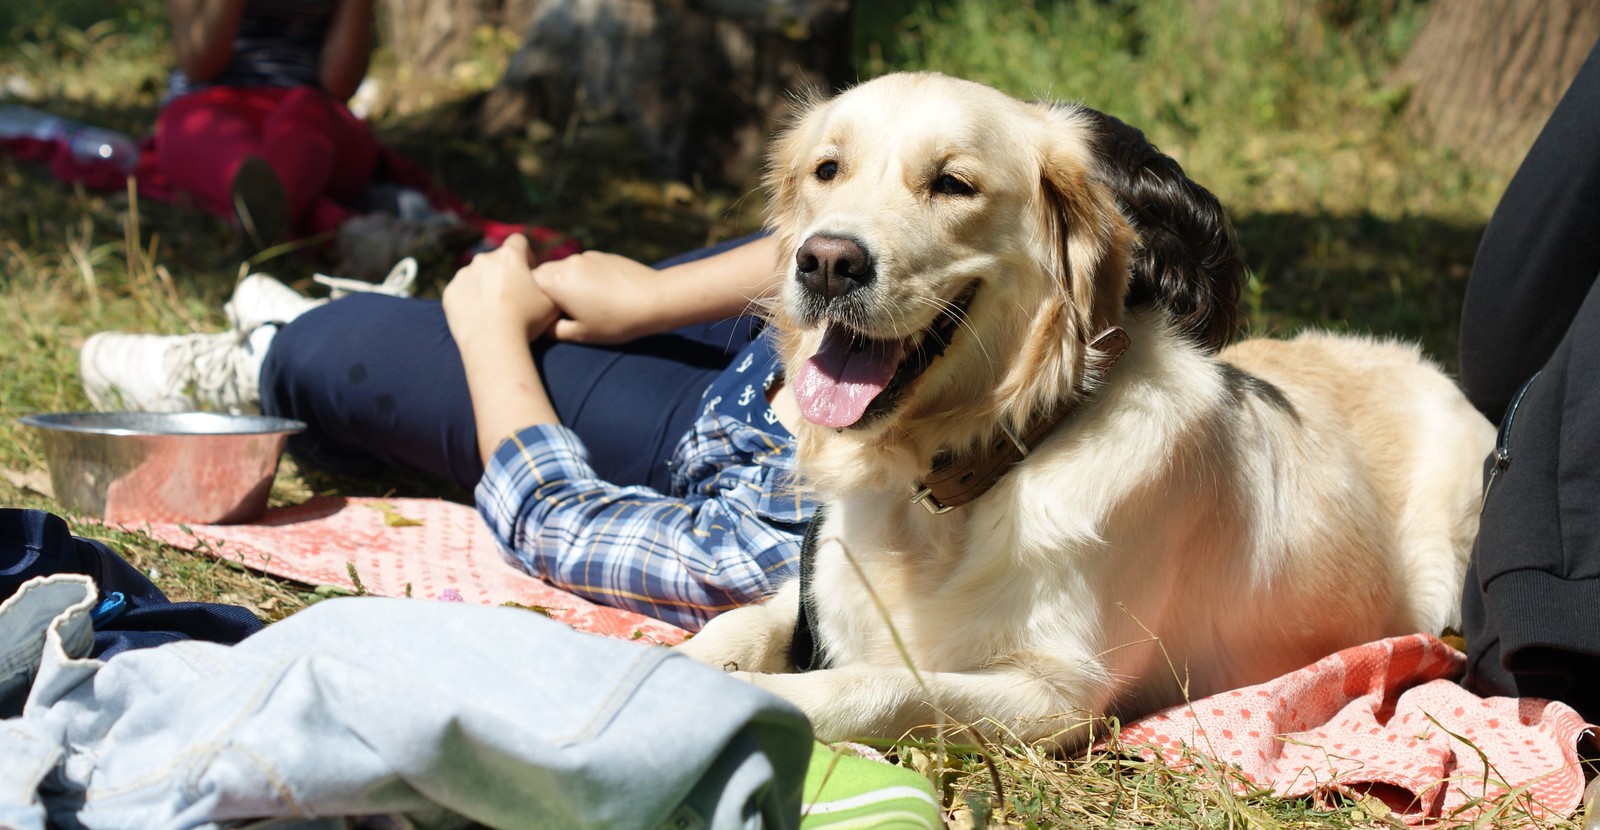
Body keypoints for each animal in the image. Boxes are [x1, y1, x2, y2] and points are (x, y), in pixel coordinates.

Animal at [678, 69, 1497, 748]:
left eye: (953, 184)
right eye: (827, 170)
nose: (825, 262)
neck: (962, 478)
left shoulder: (1060, 694)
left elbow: (880, 684)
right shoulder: (812, 589)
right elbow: (740, 621)